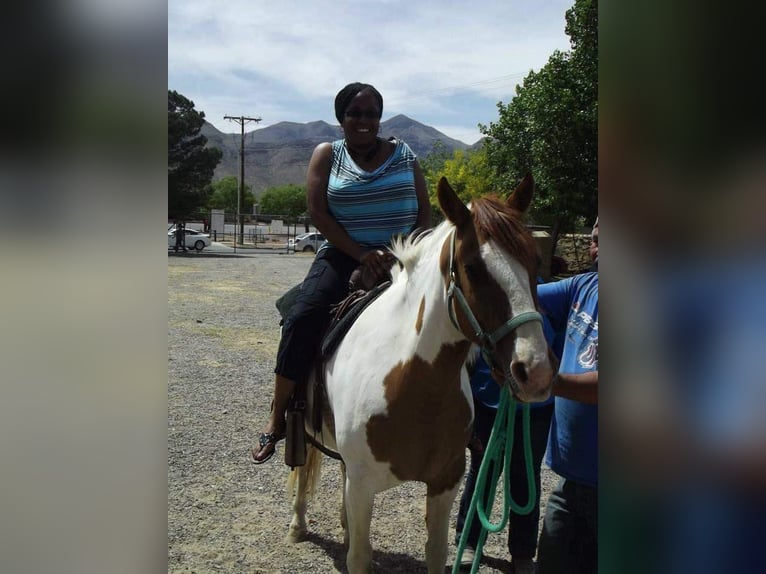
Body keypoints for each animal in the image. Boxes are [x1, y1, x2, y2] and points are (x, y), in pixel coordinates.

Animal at [284, 177, 556, 574]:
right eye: (472, 268)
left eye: (535, 262)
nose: (534, 371)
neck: (413, 385)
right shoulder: (363, 487)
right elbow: (359, 556)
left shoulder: (446, 482)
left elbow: (436, 551)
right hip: (303, 426)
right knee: (304, 469)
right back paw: (298, 524)